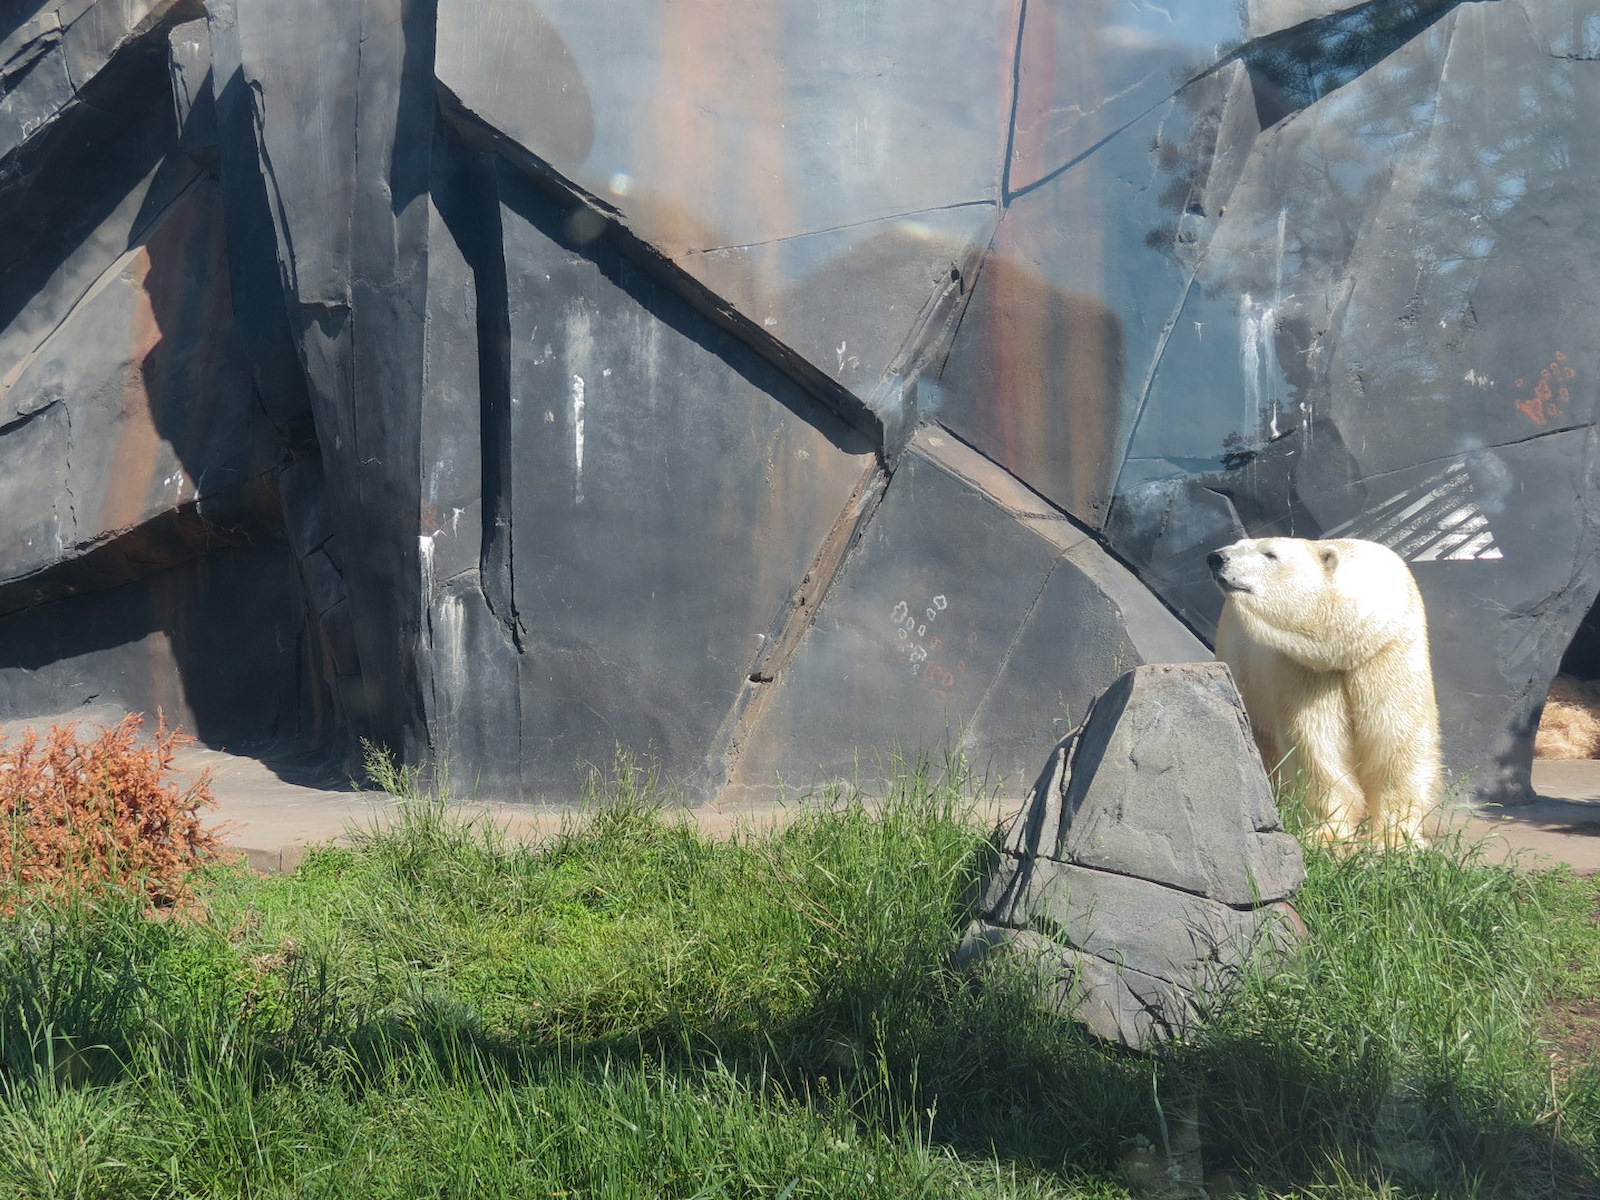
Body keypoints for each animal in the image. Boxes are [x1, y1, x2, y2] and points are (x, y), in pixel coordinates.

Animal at [1207, 536, 1441, 845]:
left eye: (1270, 554)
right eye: (1238, 543)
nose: (1217, 557)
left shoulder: (1388, 651)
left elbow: (1397, 739)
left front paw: (1394, 839)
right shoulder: (1304, 668)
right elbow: (1316, 742)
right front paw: (1328, 832)